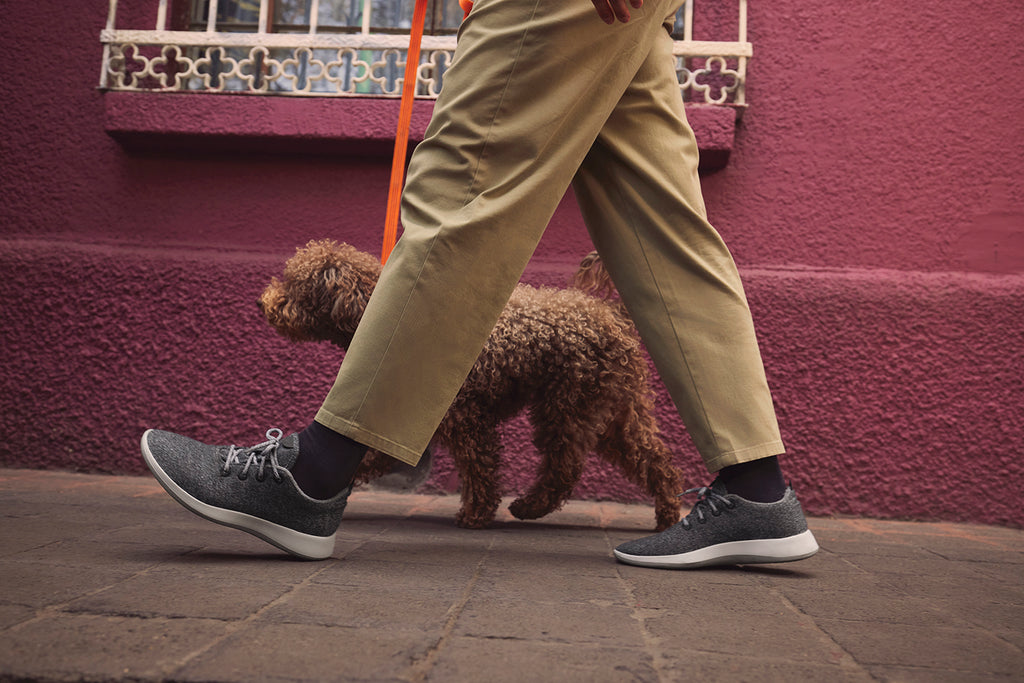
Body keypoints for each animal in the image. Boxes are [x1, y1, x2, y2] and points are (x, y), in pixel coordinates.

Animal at [260, 239, 684, 528]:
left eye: (295, 288)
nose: (264, 303)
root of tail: (612, 315)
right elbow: (371, 455)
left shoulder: (465, 419)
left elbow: (480, 465)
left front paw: (477, 513)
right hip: (615, 410)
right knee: (654, 459)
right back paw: (667, 513)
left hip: (568, 406)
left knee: (563, 468)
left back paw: (529, 506)